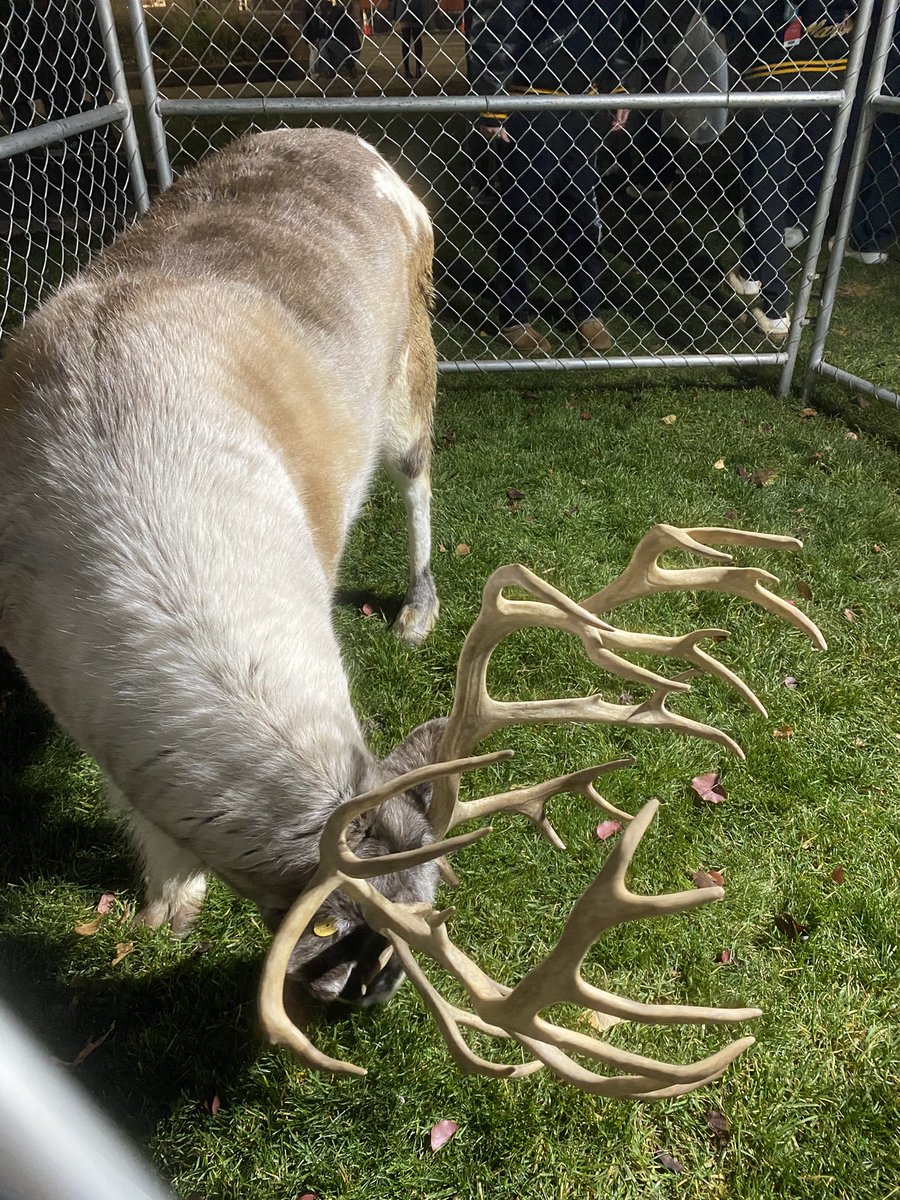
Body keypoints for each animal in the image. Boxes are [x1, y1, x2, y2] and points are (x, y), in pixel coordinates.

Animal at [0, 127, 446, 1006]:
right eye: (341, 936)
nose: (380, 997)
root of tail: (343, 136)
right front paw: (166, 908)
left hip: (411, 358)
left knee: (416, 474)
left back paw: (418, 611)